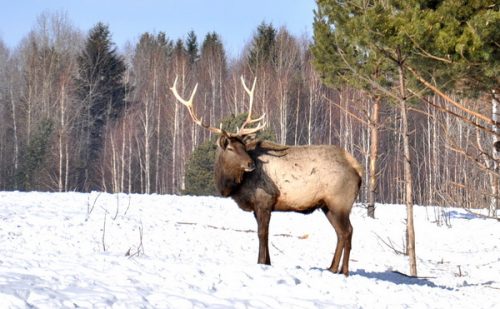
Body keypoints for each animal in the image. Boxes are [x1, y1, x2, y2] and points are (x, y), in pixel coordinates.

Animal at [170, 76, 362, 276]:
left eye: (243, 147)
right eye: (230, 148)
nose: (251, 164)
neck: (233, 186)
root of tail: (357, 168)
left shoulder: (264, 200)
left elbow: (262, 233)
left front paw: (262, 262)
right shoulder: (258, 205)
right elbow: (263, 232)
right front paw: (267, 261)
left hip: (340, 202)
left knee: (348, 231)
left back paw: (344, 271)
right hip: (327, 206)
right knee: (340, 233)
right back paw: (332, 268)